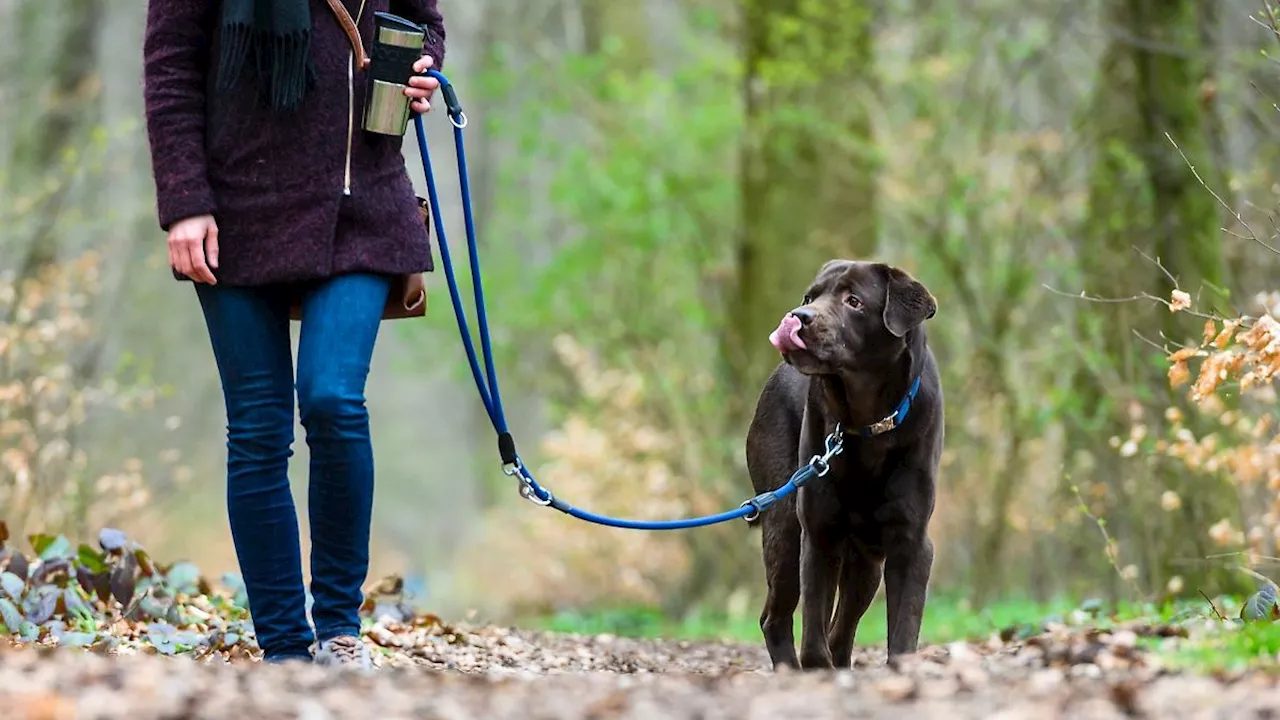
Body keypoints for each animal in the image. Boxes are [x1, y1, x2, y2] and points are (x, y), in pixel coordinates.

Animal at [747, 257, 947, 666]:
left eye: (853, 301)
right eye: (810, 297)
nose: (798, 317)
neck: (868, 423)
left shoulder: (911, 540)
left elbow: (903, 629)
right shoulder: (818, 533)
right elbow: (813, 633)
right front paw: (815, 667)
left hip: (866, 562)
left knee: (842, 628)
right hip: (786, 528)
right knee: (777, 618)